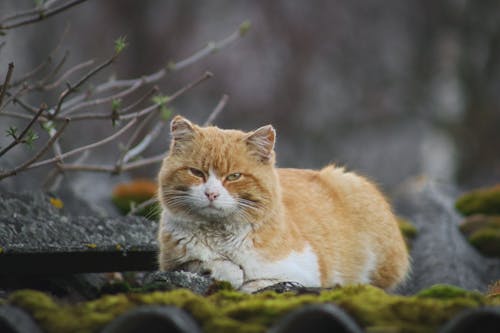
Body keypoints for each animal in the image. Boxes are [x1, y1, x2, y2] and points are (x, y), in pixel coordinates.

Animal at [157, 115, 410, 292]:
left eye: (234, 176)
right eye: (196, 172)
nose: (211, 194)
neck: (219, 236)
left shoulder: (305, 272)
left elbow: (259, 281)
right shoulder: (171, 262)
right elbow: (210, 264)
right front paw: (226, 270)